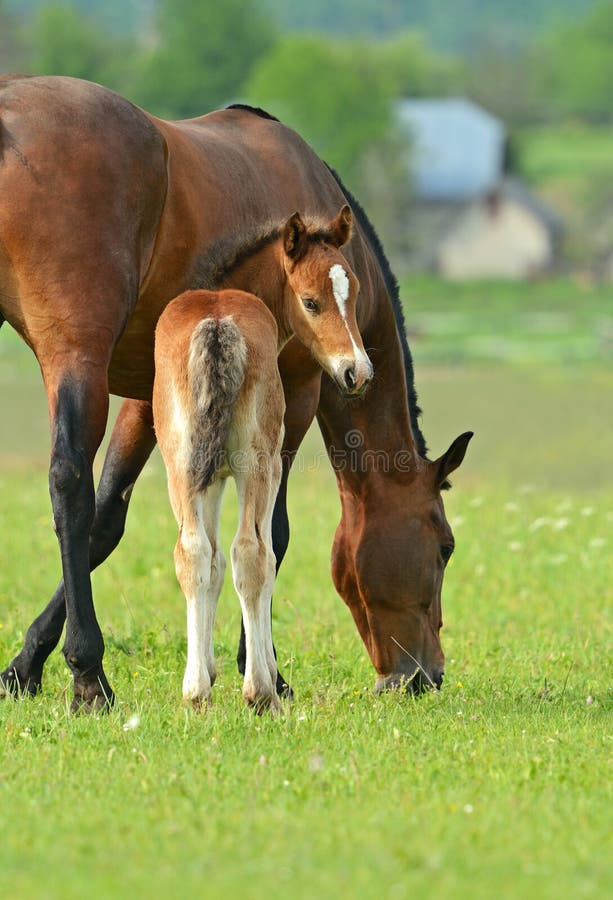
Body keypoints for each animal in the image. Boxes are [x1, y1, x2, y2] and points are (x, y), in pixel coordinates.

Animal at [153, 207, 370, 712]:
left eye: (351, 292)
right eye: (311, 302)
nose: (357, 372)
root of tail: (217, 326)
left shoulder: (208, 477)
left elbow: (210, 561)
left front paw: (208, 672)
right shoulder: (270, 465)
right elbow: (265, 554)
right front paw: (266, 671)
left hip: (182, 465)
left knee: (192, 551)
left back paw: (195, 691)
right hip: (257, 464)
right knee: (250, 554)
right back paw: (260, 692)